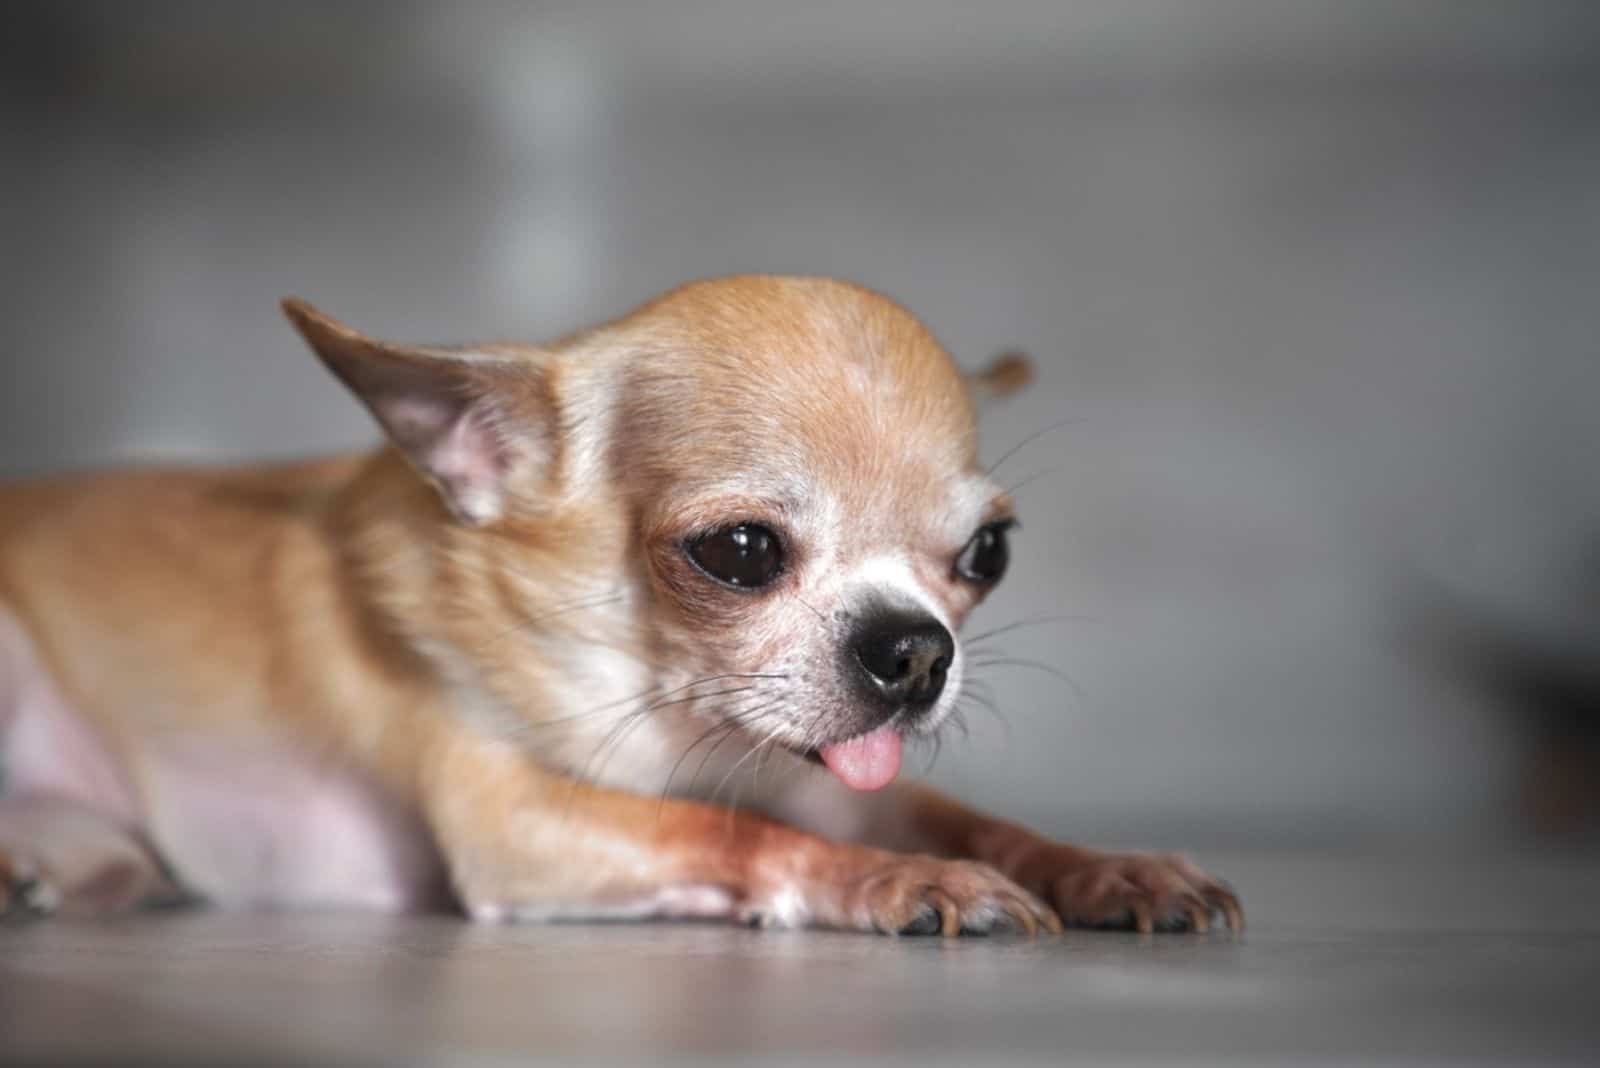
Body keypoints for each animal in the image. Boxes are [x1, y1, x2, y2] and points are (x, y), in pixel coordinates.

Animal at [0, 274, 1241, 933]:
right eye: (738, 552)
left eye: (986, 553)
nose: (916, 651)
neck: (673, 725)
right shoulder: (511, 821)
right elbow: (721, 829)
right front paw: (907, 882)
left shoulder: (833, 781)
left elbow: (973, 819)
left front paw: (1107, 868)